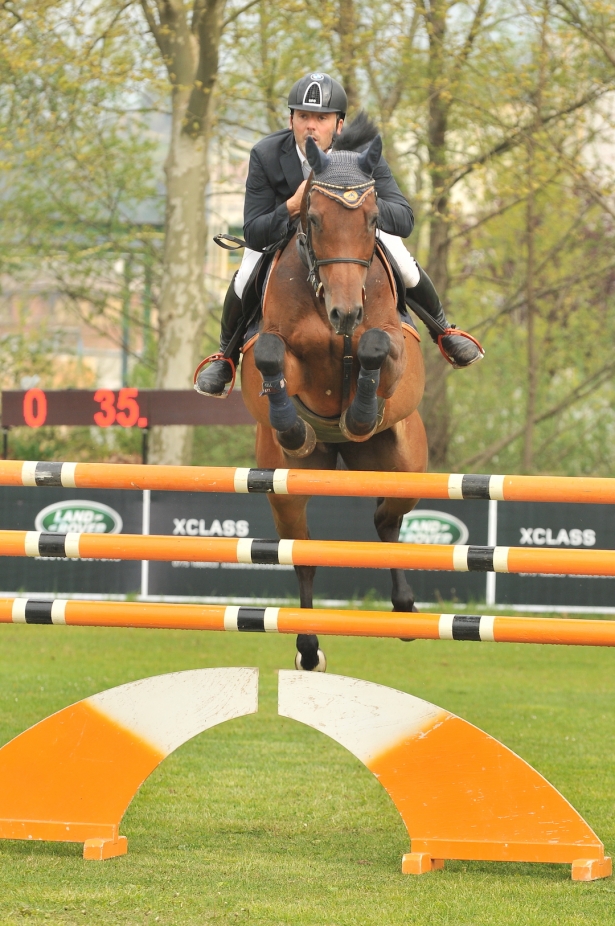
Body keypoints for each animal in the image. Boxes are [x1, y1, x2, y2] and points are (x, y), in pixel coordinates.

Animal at [241, 125, 428, 676]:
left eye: (372, 220)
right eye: (315, 219)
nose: (345, 313)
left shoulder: (394, 344)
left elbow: (374, 347)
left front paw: (361, 413)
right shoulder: (271, 347)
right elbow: (271, 355)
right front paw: (291, 424)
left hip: (405, 467)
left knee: (386, 520)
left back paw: (405, 610)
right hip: (285, 487)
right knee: (304, 556)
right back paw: (308, 648)